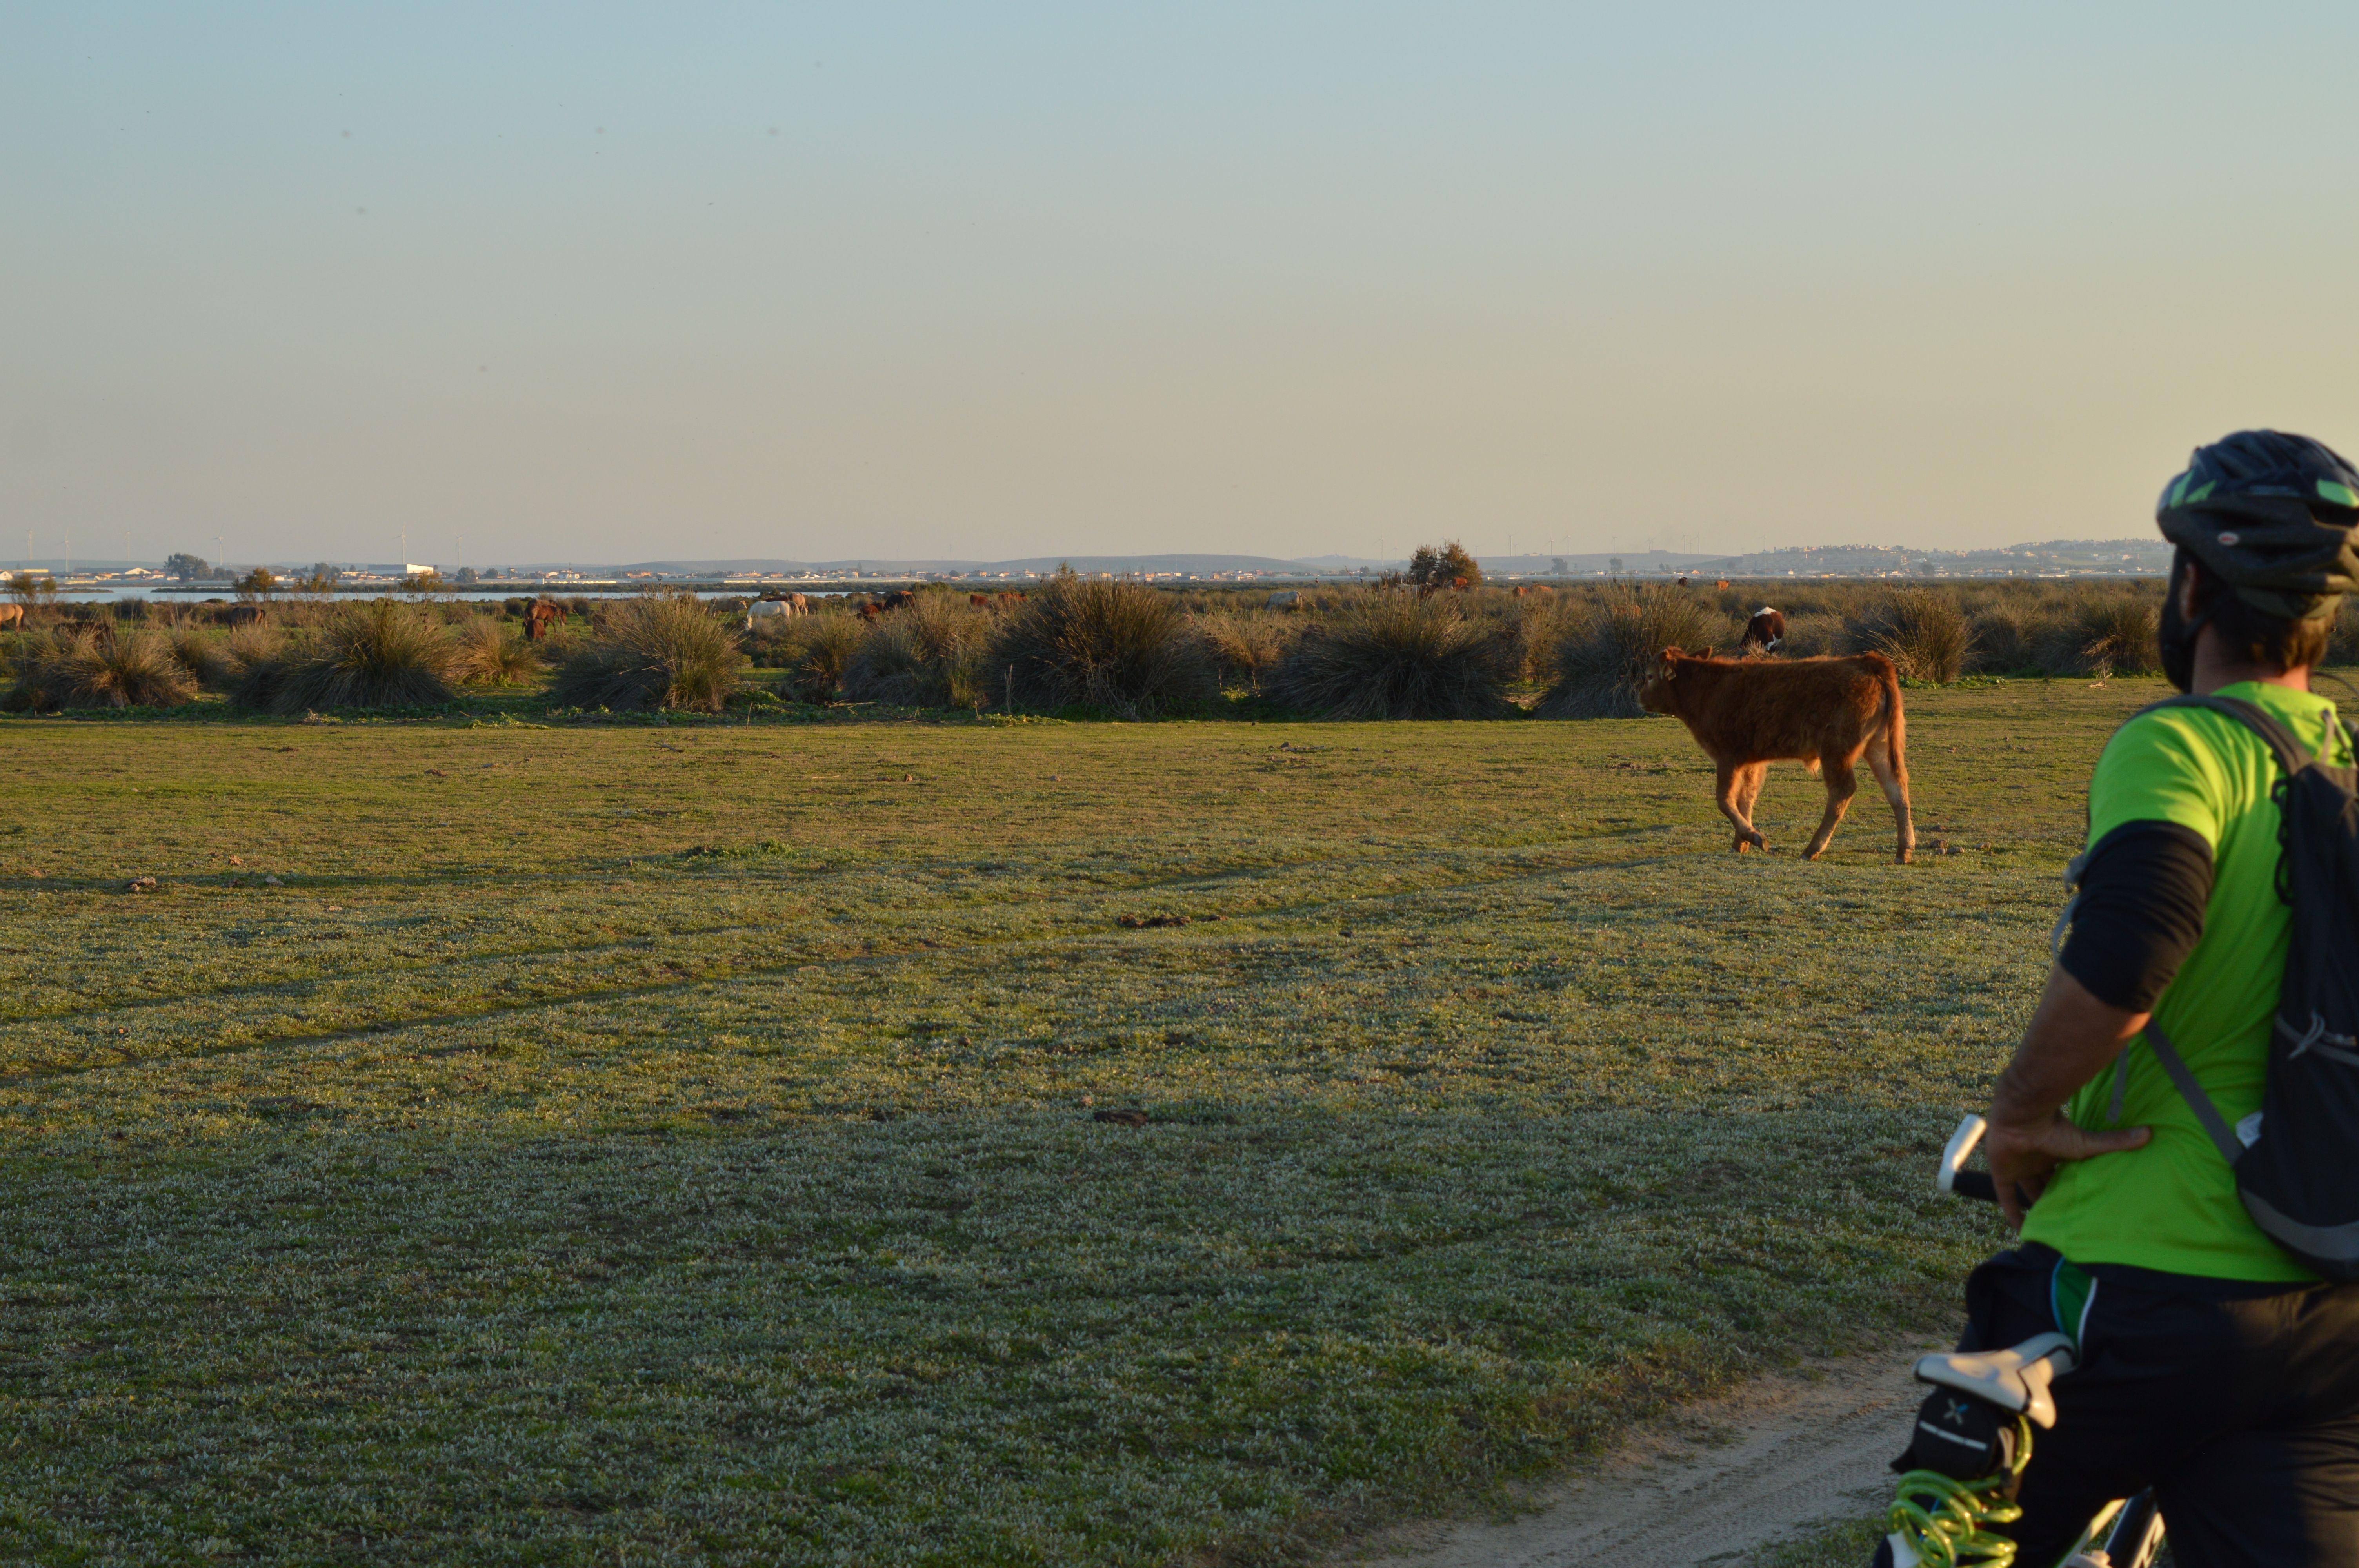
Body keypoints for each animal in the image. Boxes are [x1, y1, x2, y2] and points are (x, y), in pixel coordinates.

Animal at [1642, 646, 1915, 867]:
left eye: (1649, 675)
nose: (1639, 698)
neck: (1709, 690)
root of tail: (1864, 661)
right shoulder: (1751, 763)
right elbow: (1745, 799)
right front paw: (1741, 842)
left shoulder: (1728, 758)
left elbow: (1725, 800)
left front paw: (1754, 837)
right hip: (1879, 747)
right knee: (1896, 789)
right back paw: (1904, 851)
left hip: (1836, 752)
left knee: (1842, 791)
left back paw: (1812, 849)